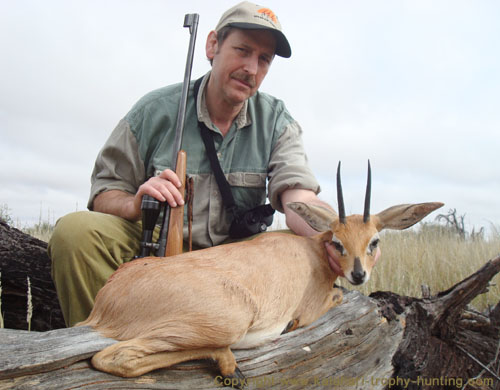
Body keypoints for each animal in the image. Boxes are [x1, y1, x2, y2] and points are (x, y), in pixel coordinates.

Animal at [79, 161, 446, 384]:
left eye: (374, 241)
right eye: (338, 242)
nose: (359, 275)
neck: (311, 251)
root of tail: (104, 302)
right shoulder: (312, 307)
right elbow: (337, 297)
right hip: (227, 322)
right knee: (111, 358)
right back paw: (230, 365)